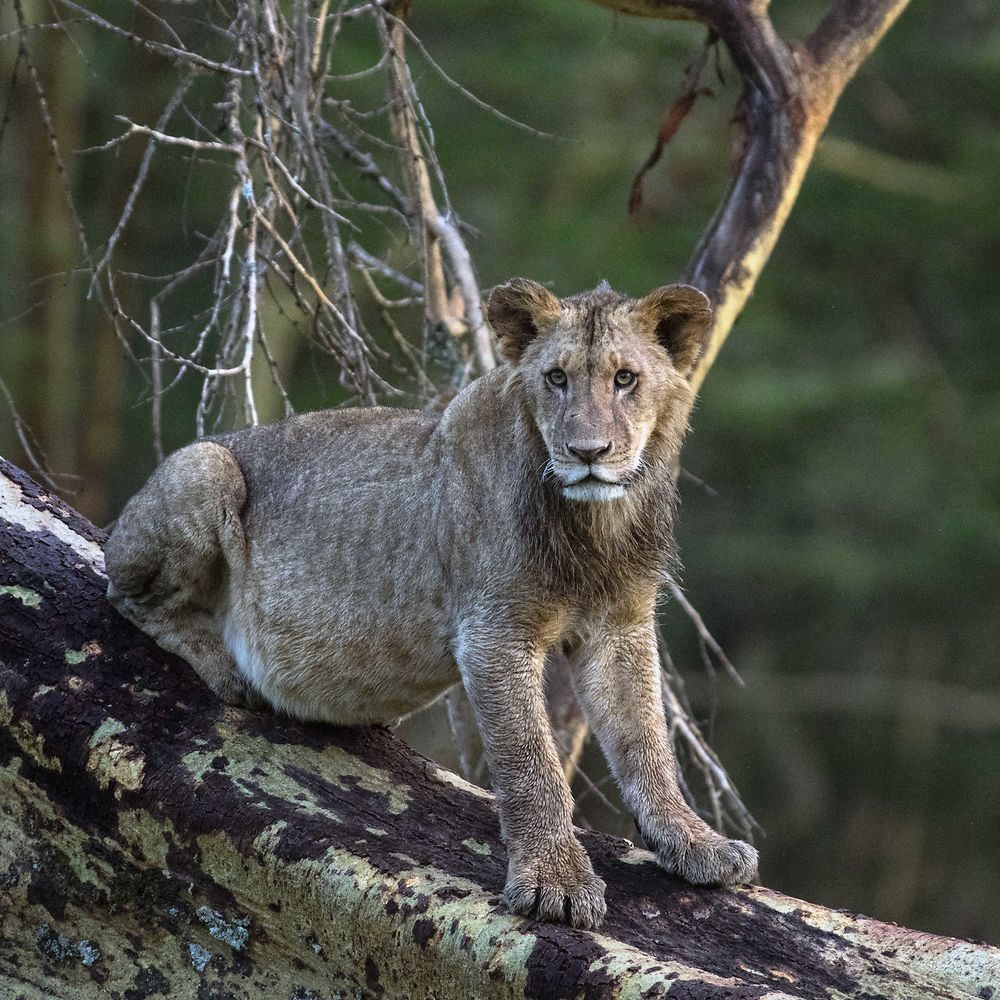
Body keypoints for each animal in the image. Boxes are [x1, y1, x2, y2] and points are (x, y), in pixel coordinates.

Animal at [105, 278, 756, 924]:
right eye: (556, 378)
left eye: (625, 378)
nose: (587, 452)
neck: (596, 525)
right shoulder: (493, 633)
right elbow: (531, 762)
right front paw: (556, 880)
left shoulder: (619, 626)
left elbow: (645, 742)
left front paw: (695, 843)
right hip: (206, 465)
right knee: (127, 596)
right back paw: (230, 669)